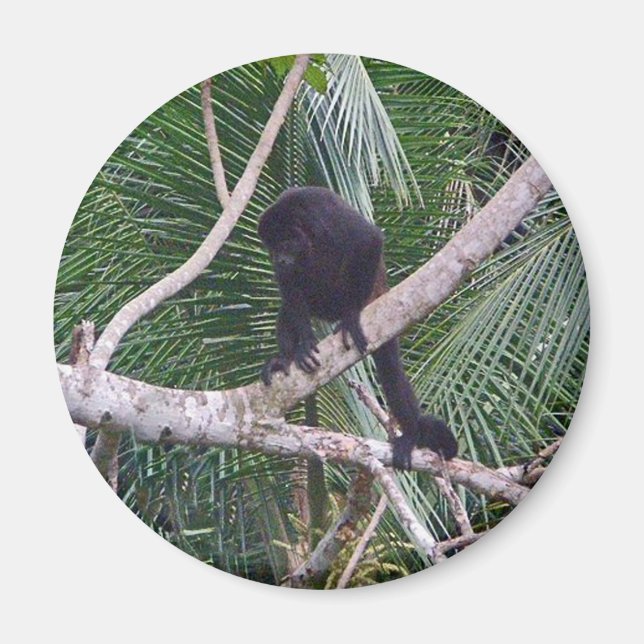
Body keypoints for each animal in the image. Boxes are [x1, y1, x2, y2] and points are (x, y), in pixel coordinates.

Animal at [258, 186, 457, 470]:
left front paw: (352, 316)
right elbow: (289, 287)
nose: (281, 259)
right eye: (272, 248)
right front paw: (304, 344)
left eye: (285, 244)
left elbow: (368, 239)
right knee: (288, 309)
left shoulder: (326, 217)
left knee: (391, 371)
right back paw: (284, 359)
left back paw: (410, 433)